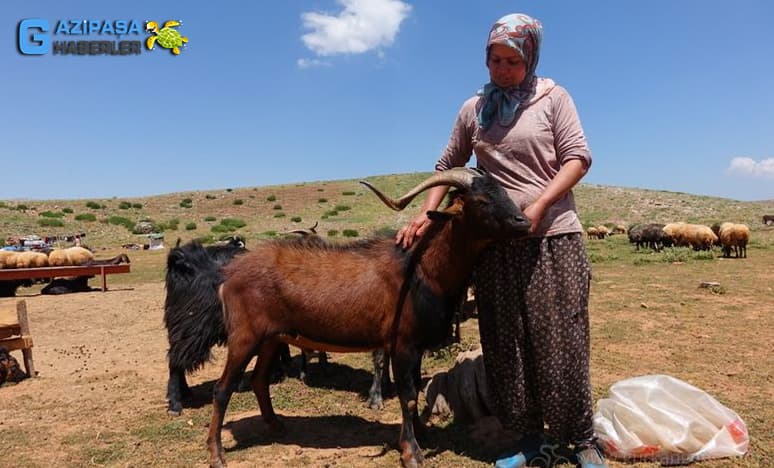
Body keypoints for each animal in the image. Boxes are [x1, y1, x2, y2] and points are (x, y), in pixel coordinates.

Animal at [206, 168, 532, 468]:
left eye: (503, 192)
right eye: (481, 200)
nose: (523, 222)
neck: (421, 271)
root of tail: (229, 277)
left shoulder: (415, 347)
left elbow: (414, 389)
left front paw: (422, 433)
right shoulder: (402, 344)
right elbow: (408, 395)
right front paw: (411, 452)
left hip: (272, 338)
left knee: (259, 380)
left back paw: (276, 425)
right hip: (245, 337)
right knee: (222, 389)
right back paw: (217, 454)